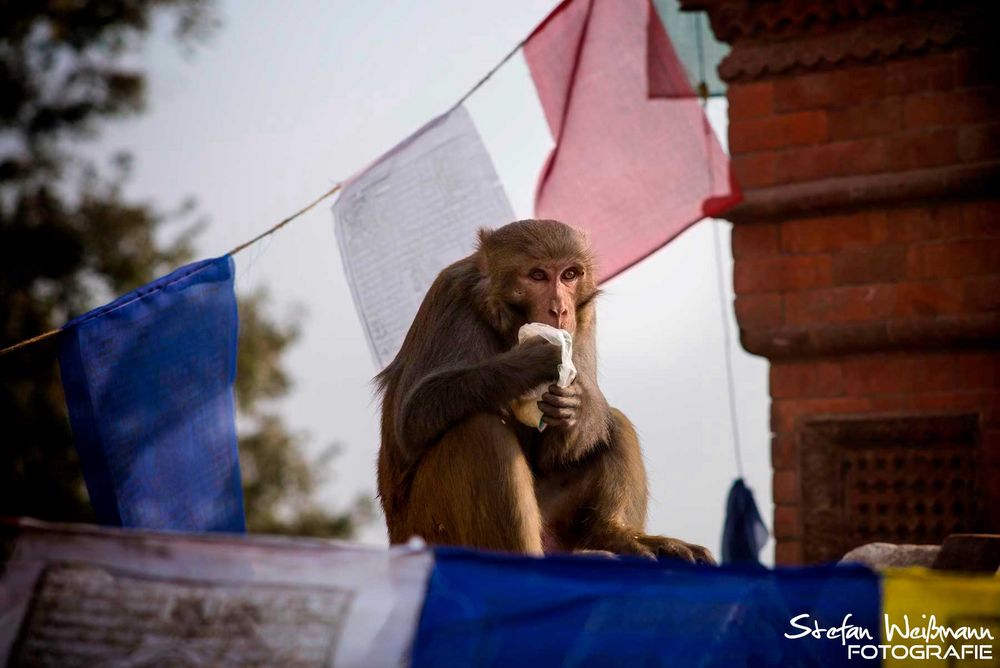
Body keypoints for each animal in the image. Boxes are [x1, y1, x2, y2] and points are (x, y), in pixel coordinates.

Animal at [374, 220, 712, 564]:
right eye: (537, 275)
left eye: (570, 275)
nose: (560, 309)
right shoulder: (450, 296)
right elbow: (412, 417)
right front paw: (529, 361)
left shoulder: (585, 316)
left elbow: (562, 448)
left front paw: (577, 406)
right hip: (427, 527)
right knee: (479, 430)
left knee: (613, 421)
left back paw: (613, 534)